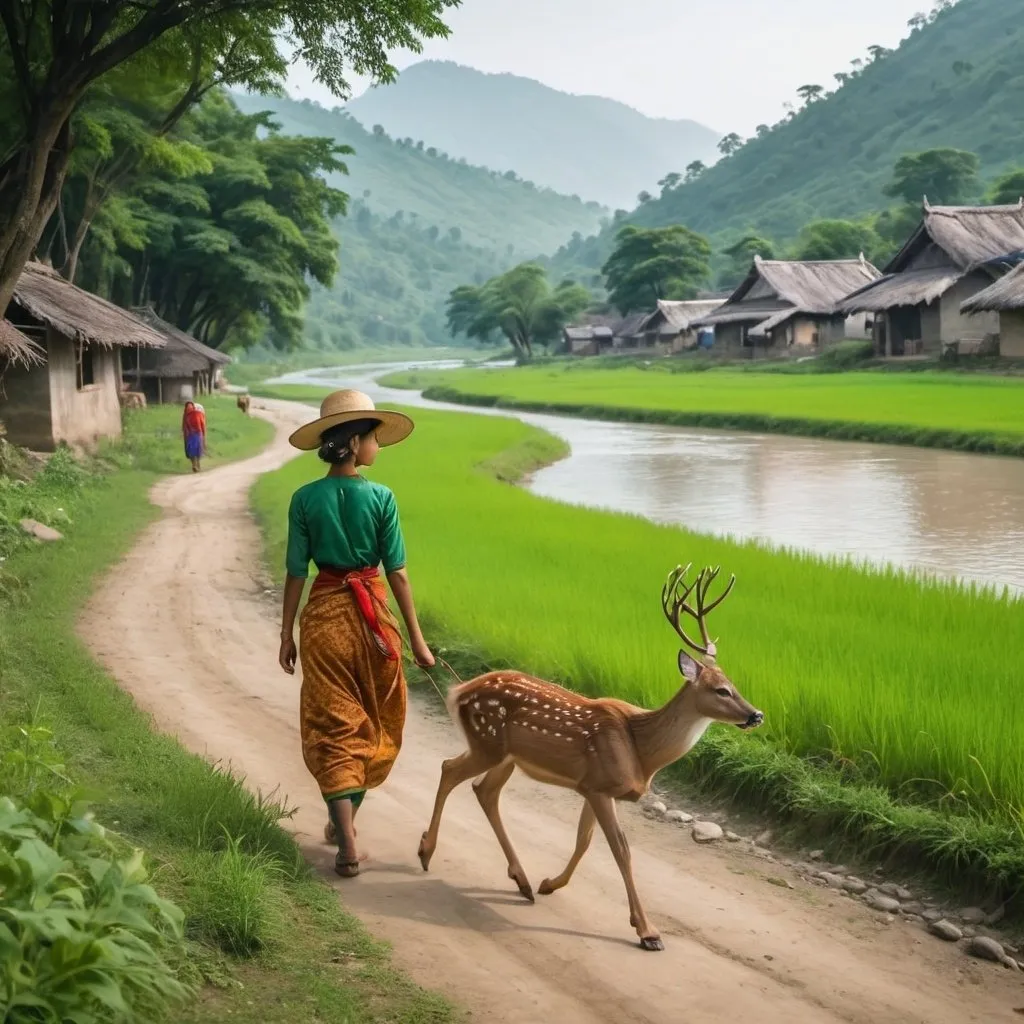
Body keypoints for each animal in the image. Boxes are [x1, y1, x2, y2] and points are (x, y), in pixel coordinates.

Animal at [415, 565, 761, 946]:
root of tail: (459, 690)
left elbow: (584, 841)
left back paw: (523, 881)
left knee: (484, 791)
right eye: (721, 690)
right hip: (487, 743)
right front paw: (647, 931)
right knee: (449, 769)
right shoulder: (599, 785)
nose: (756, 715)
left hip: (507, 757)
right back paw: (426, 852)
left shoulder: (593, 786)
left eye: (735, 684)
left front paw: (550, 884)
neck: (642, 751)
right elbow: (620, 849)